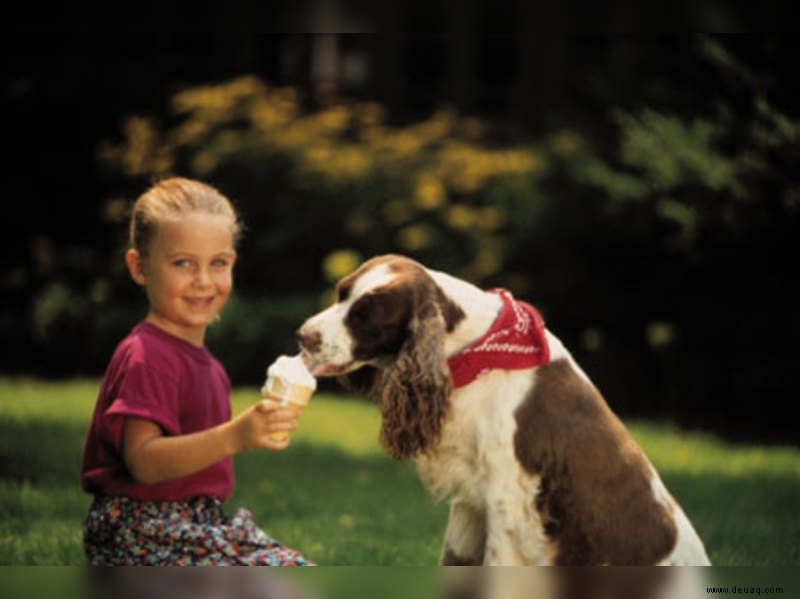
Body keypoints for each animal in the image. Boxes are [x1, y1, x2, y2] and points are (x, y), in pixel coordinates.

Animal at [296, 254, 708, 568]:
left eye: (365, 316)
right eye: (341, 293)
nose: (303, 335)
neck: (474, 352)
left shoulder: (507, 498)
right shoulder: (469, 500)